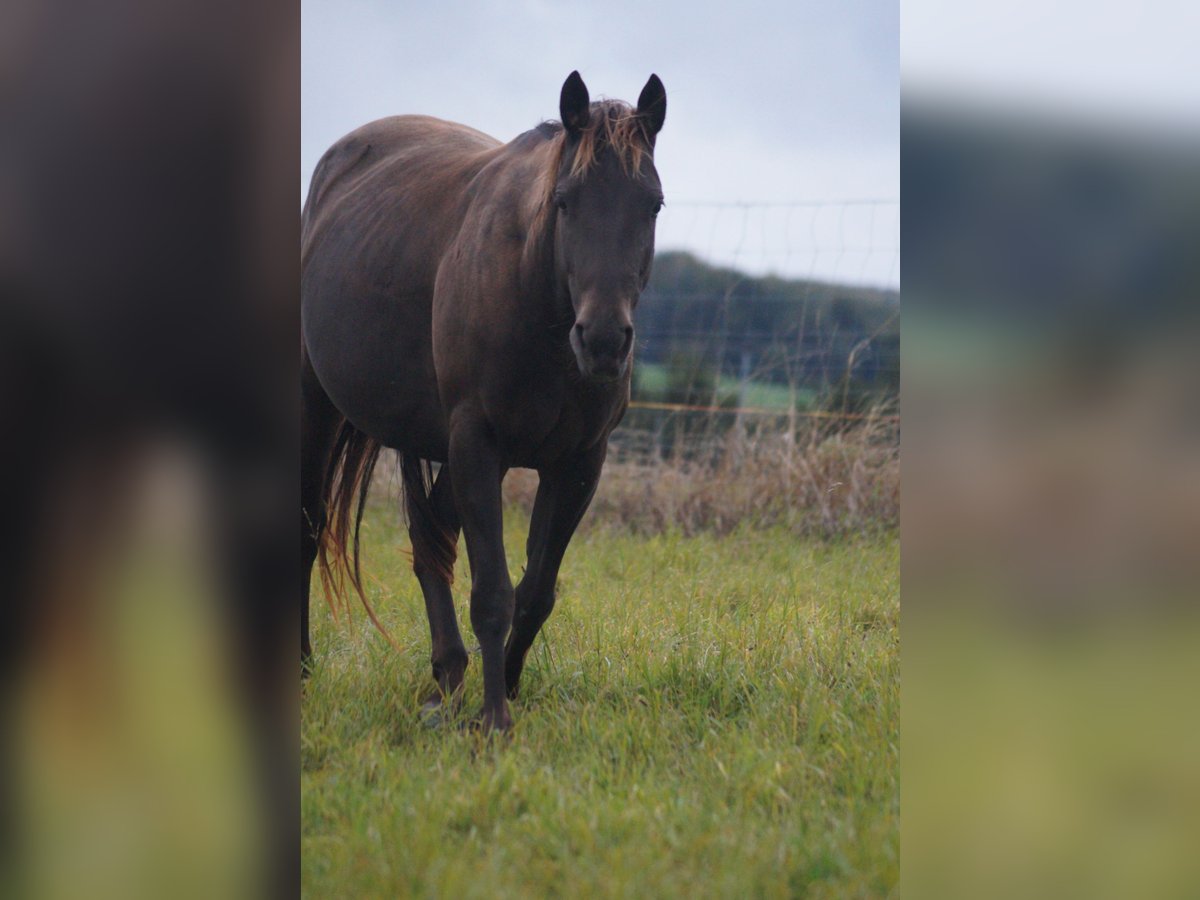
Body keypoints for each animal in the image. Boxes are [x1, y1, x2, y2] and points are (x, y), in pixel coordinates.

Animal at [302, 72, 667, 734]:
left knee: (430, 544)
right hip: (317, 401)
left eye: (651, 204)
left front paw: (509, 690)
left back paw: (445, 680)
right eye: (565, 201)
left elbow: (536, 591)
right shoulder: (478, 444)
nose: (603, 341)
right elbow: (493, 592)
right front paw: (494, 719)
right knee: (309, 526)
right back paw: (305, 669)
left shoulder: (579, 463)